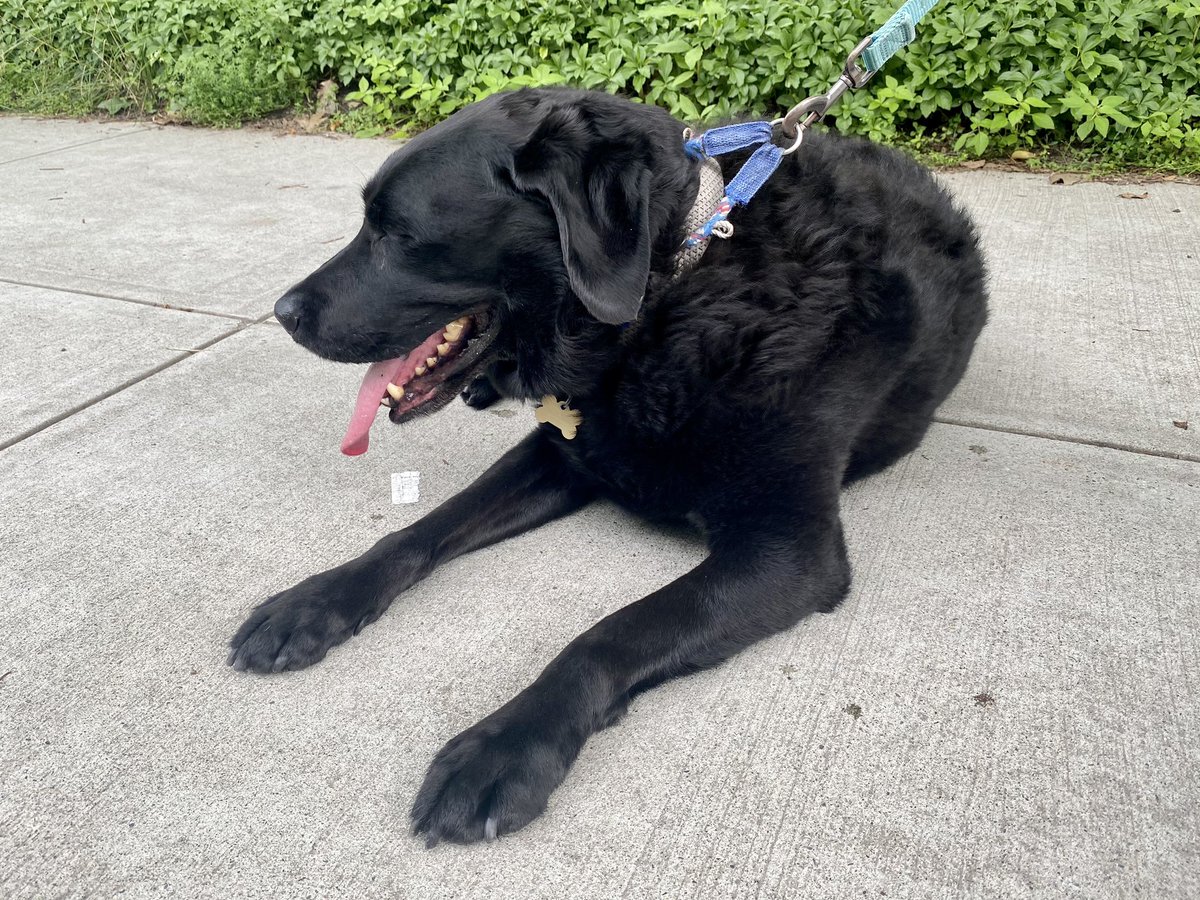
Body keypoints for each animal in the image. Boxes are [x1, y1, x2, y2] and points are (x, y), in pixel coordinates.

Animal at [225, 84, 984, 844]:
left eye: (396, 235)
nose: (283, 312)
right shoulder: (563, 452)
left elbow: (610, 633)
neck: (665, 305)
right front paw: (317, 601)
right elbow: (421, 530)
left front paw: (506, 745)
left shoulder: (789, 549)